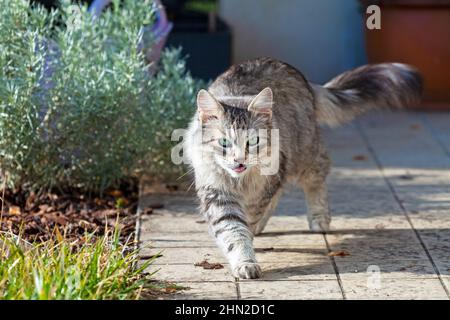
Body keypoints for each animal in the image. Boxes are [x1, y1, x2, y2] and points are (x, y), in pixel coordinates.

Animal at [184, 57, 422, 278]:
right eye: (224, 143)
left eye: (252, 141)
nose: (239, 161)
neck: (240, 181)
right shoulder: (217, 191)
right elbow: (233, 229)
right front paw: (244, 259)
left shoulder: (266, 180)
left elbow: (247, 220)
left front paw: (248, 248)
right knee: (279, 193)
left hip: (305, 157)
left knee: (316, 179)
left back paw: (318, 218)